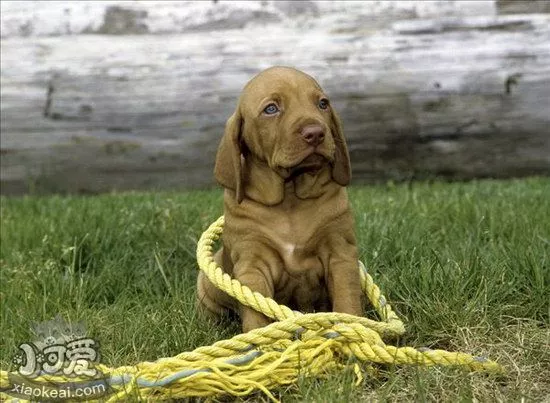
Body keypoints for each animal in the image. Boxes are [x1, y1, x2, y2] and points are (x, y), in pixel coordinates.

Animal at [196, 65, 364, 332]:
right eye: (271, 109)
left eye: (322, 104)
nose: (316, 133)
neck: (289, 198)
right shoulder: (252, 265)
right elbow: (256, 313)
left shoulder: (340, 252)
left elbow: (347, 300)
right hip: (206, 286)